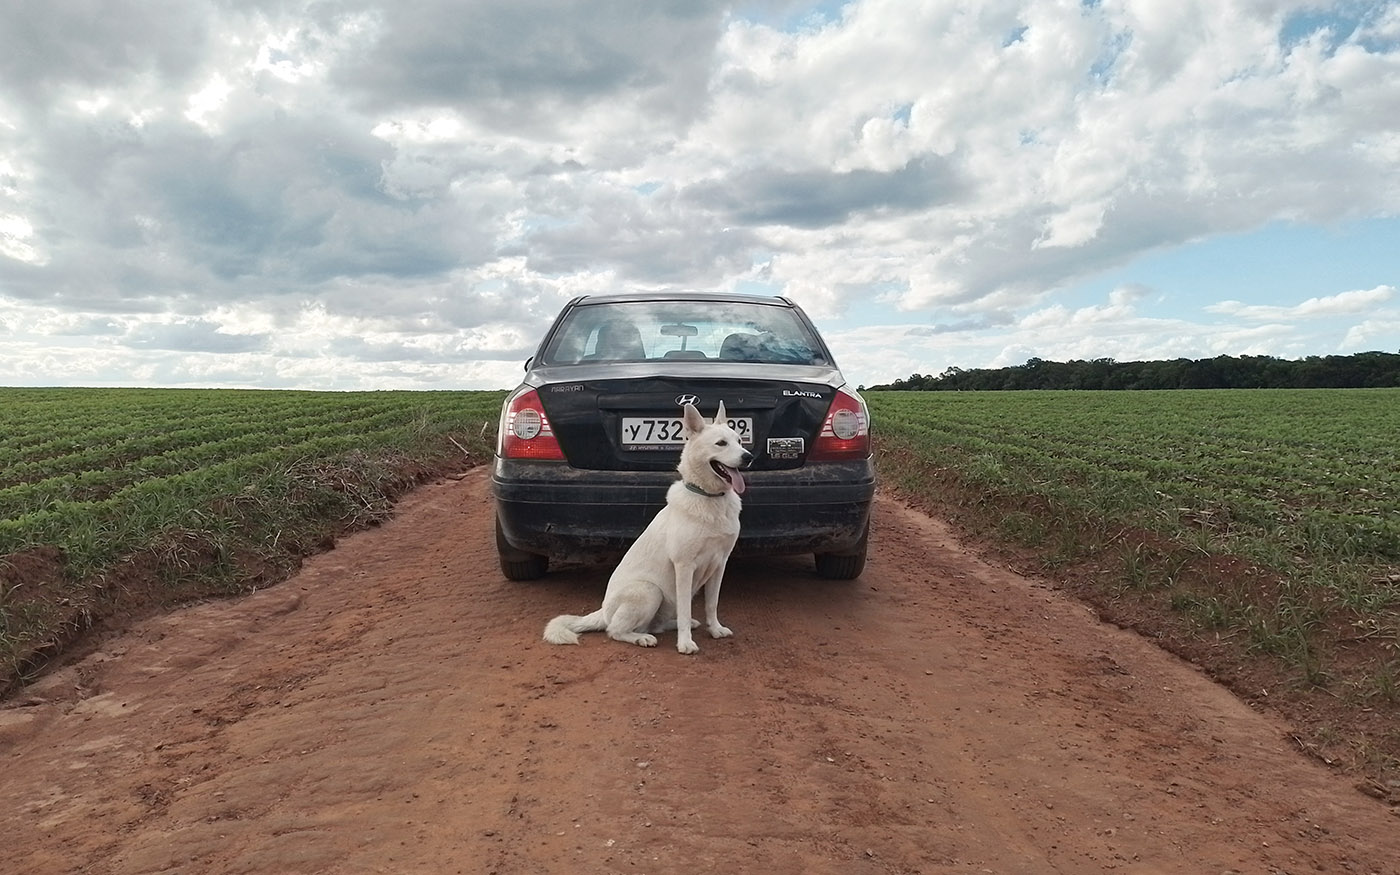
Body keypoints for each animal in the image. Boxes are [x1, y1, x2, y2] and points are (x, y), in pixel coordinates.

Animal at [540, 400, 756, 652]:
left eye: (739, 441)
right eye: (721, 443)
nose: (749, 457)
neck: (709, 498)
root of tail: (603, 611)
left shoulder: (719, 564)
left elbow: (711, 604)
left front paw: (715, 629)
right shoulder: (684, 567)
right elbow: (685, 608)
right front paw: (685, 643)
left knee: (656, 625)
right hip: (649, 591)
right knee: (615, 630)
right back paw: (641, 638)